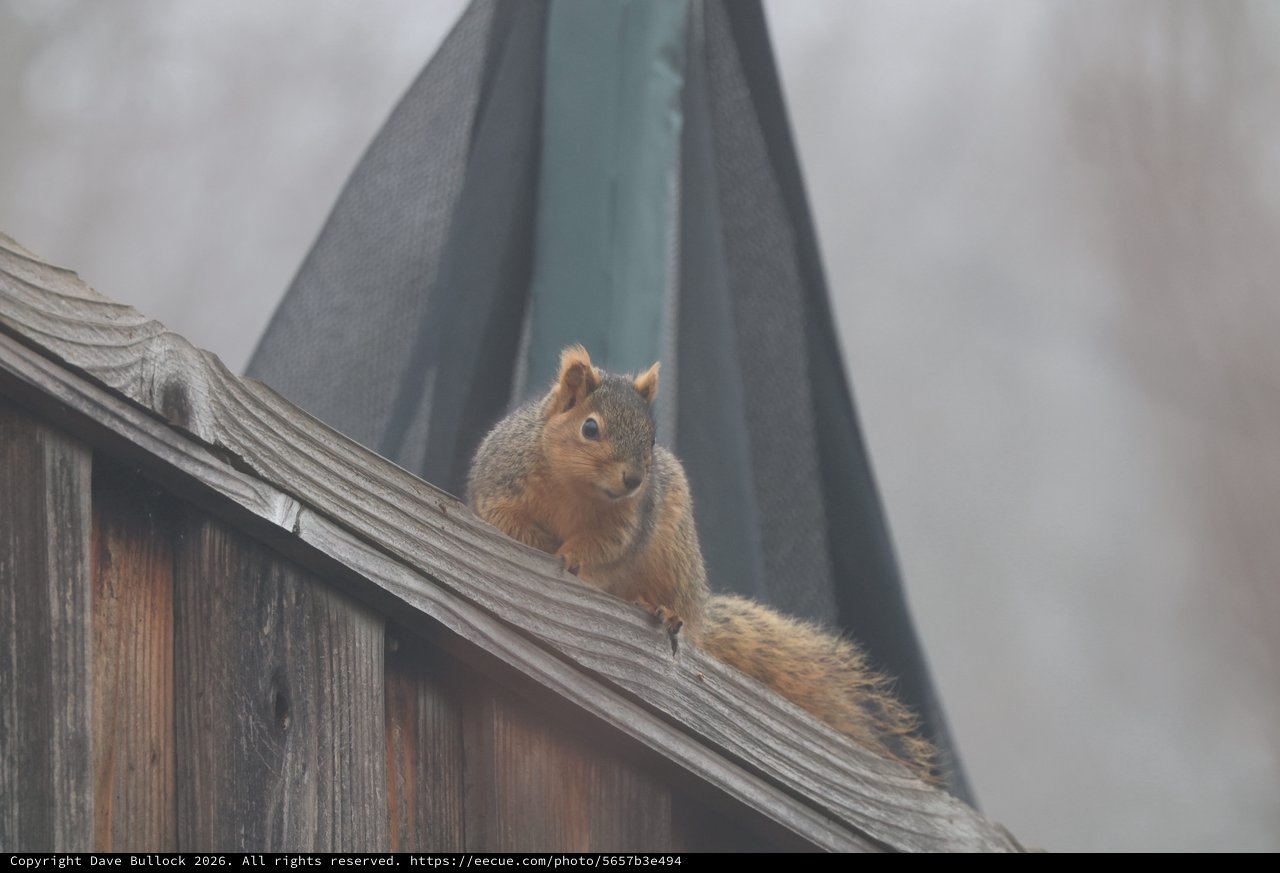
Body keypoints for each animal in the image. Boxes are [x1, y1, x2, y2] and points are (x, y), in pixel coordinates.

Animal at [467, 345, 937, 781]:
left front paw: (571, 556)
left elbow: (606, 546)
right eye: (590, 427)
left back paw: (661, 610)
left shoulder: (630, 520)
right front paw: (538, 541)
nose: (634, 479)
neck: (576, 488)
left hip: (674, 559)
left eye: (652, 439)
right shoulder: (501, 480)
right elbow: (501, 518)